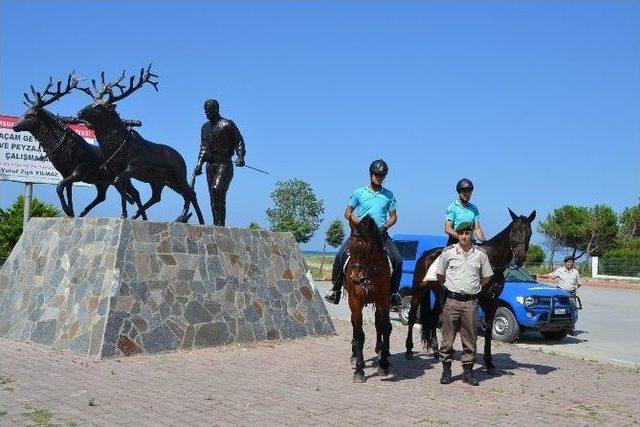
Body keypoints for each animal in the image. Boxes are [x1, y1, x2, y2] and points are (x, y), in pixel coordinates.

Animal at [13, 73, 146, 219]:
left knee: (134, 193)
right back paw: (84, 213)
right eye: (24, 112)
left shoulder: (79, 171)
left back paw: (135, 216)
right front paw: (71, 213)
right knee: (104, 196)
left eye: (30, 115)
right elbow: (68, 192)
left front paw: (67, 210)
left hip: (120, 177)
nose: (14, 126)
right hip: (102, 181)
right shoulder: (65, 173)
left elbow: (59, 186)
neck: (62, 149)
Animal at [74, 65, 205, 226]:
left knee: (191, 193)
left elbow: (119, 183)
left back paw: (200, 221)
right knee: (162, 196)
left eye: (99, 107)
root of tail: (182, 158)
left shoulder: (133, 167)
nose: (79, 112)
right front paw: (124, 214)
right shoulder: (117, 170)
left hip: (178, 175)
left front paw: (127, 211)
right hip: (160, 180)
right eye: (91, 101)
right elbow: (120, 186)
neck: (115, 145)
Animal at [348, 216, 392, 382]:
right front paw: (359, 370)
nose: (355, 278)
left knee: (380, 325)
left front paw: (383, 364)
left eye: (367, 248)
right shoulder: (355, 302)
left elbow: (384, 327)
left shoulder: (383, 301)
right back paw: (354, 355)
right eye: (350, 246)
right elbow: (359, 334)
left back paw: (381, 352)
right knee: (355, 326)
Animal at [404, 210, 536, 374]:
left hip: (441, 296)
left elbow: (488, 330)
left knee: (433, 318)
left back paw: (436, 351)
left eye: (529, 232)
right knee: (411, 317)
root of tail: (425, 255)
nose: (520, 257)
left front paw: (489, 363)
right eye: (514, 231)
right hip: (419, 290)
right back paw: (409, 350)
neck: (491, 263)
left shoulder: (491, 302)